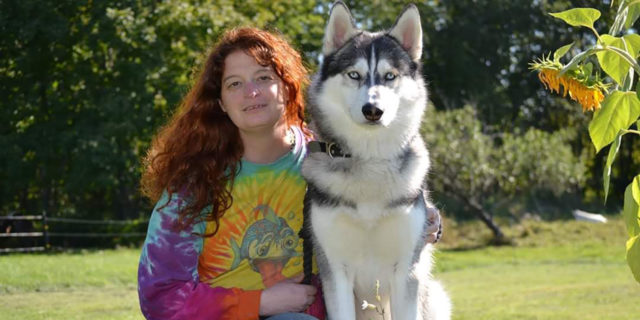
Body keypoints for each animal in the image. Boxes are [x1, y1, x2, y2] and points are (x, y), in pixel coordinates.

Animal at [302, 2, 452, 320]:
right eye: (354, 75)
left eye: (390, 76)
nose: (373, 110)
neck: (369, 160)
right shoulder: (335, 271)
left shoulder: (406, 272)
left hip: (435, 297)